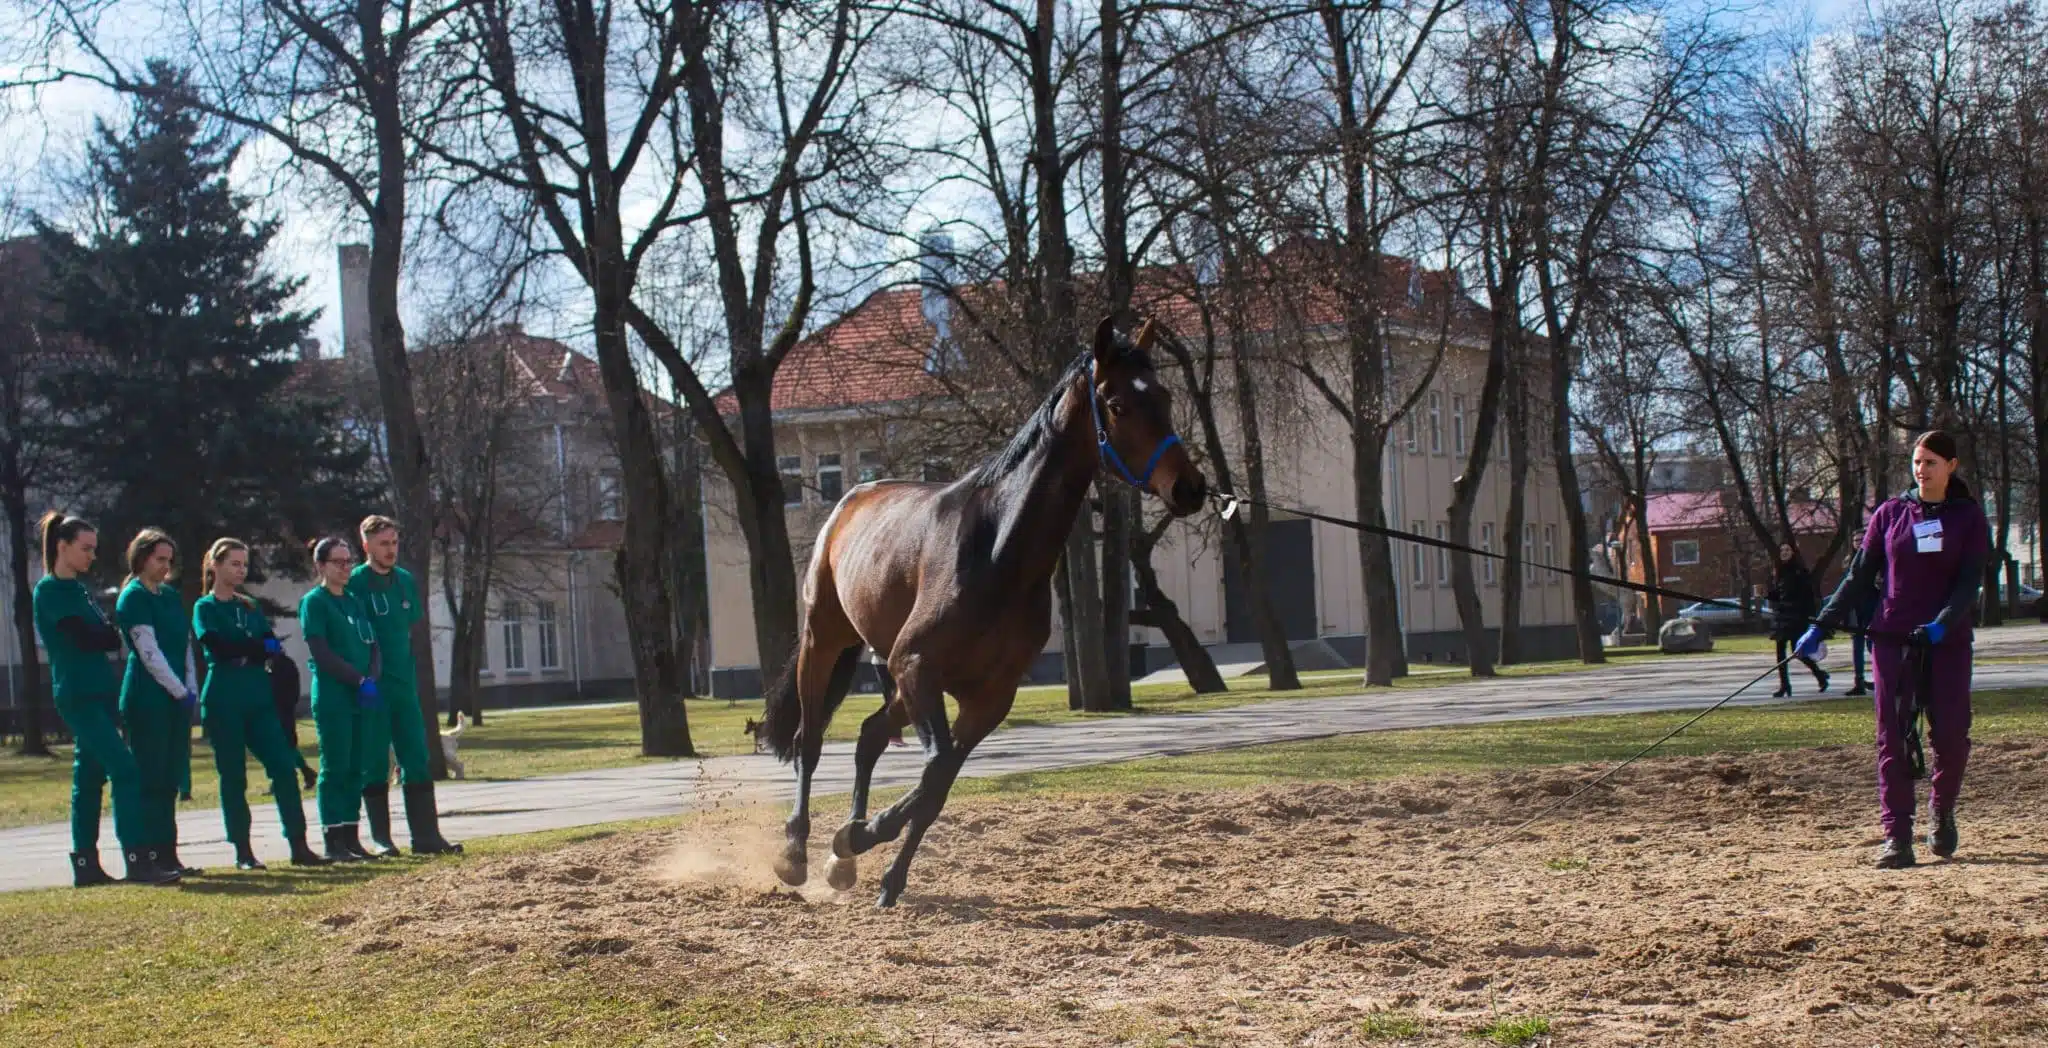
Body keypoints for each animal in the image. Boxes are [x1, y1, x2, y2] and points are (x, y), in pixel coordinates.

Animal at [757, 315, 1204, 904]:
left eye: (1164, 396)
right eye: (1117, 403)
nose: (1190, 487)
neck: (997, 552)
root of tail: (849, 501)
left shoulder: (988, 696)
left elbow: (938, 782)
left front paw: (875, 860)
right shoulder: (917, 666)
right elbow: (934, 770)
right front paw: (858, 836)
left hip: (897, 680)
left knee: (870, 736)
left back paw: (842, 860)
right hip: (826, 643)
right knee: (809, 742)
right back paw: (794, 852)